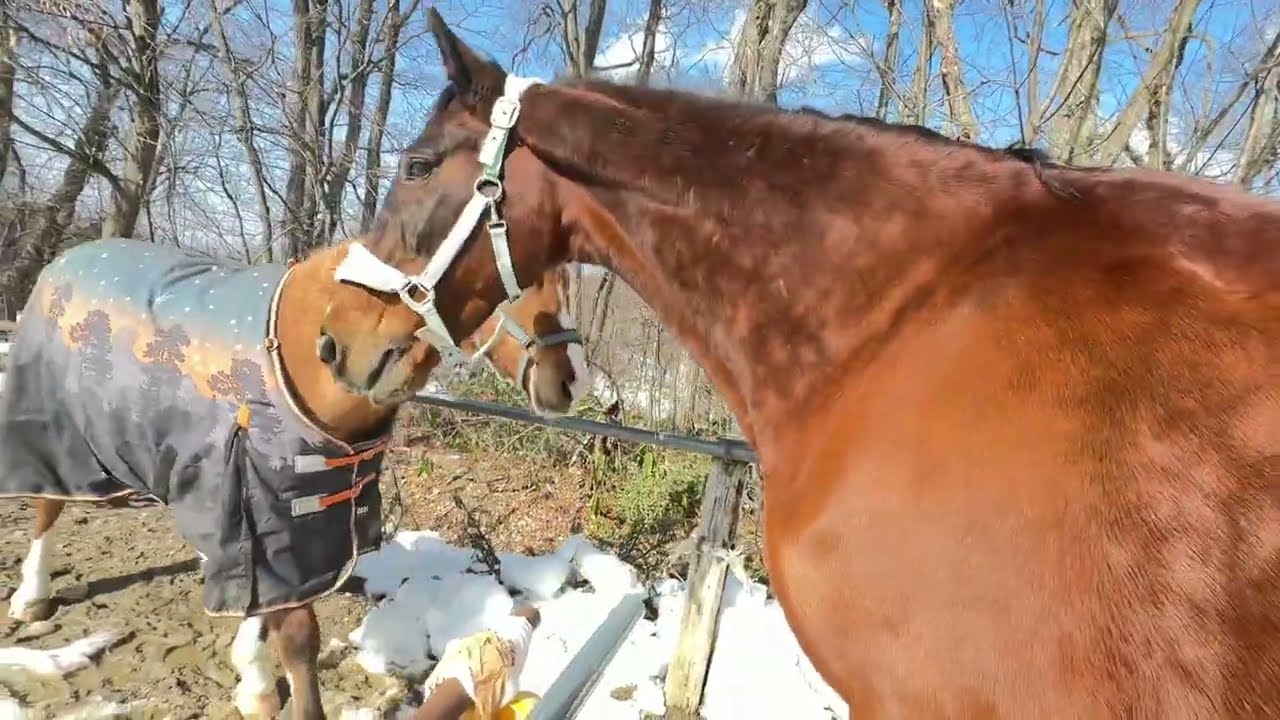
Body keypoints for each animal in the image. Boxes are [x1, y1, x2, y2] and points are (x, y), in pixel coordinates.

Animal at [0, 236, 589, 719]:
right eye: (517, 277)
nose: (568, 381)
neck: (308, 354)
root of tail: (67, 258)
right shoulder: (265, 500)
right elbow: (298, 635)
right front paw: (262, 688)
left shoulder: (285, 517)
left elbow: (264, 597)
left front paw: (250, 677)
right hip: (59, 432)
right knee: (47, 504)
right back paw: (31, 596)